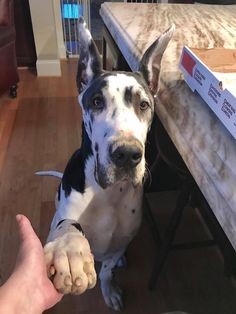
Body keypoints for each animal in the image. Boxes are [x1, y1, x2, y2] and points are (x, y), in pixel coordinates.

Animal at [37, 18, 174, 310]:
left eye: (144, 105)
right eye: (97, 101)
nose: (127, 154)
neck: (107, 194)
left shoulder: (121, 241)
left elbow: (108, 270)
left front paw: (109, 287)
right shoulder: (65, 218)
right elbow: (67, 226)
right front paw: (69, 249)